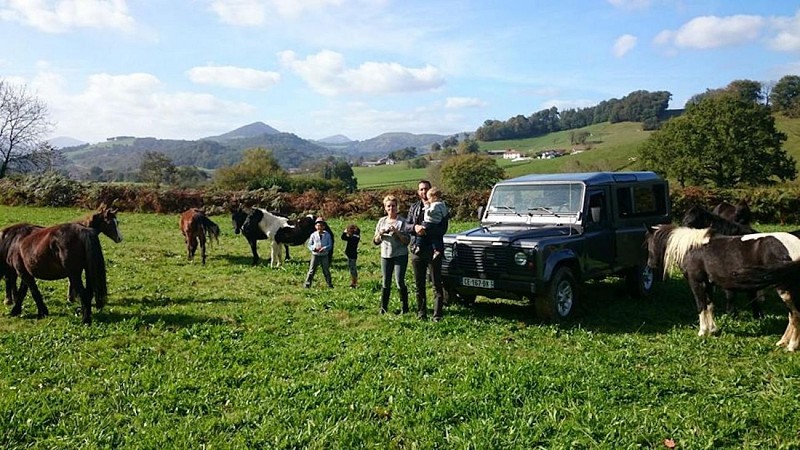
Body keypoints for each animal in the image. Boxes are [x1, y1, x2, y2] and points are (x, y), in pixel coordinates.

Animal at [644, 225, 800, 352]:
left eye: (649, 243)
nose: (650, 265)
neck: (692, 248)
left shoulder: (697, 283)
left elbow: (701, 306)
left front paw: (702, 332)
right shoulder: (708, 284)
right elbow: (709, 306)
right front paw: (712, 330)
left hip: (784, 290)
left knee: (795, 314)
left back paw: (791, 346)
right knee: (791, 315)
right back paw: (782, 342)